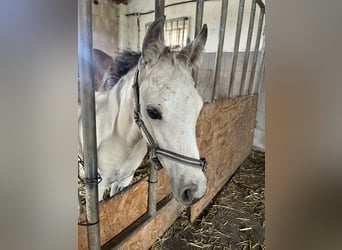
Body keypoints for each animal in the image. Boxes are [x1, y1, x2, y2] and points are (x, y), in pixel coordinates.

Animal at [79, 17, 208, 205]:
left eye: (198, 107)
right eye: (152, 112)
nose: (194, 191)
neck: (121, 143)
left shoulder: (124, 180)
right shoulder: (99, 187)